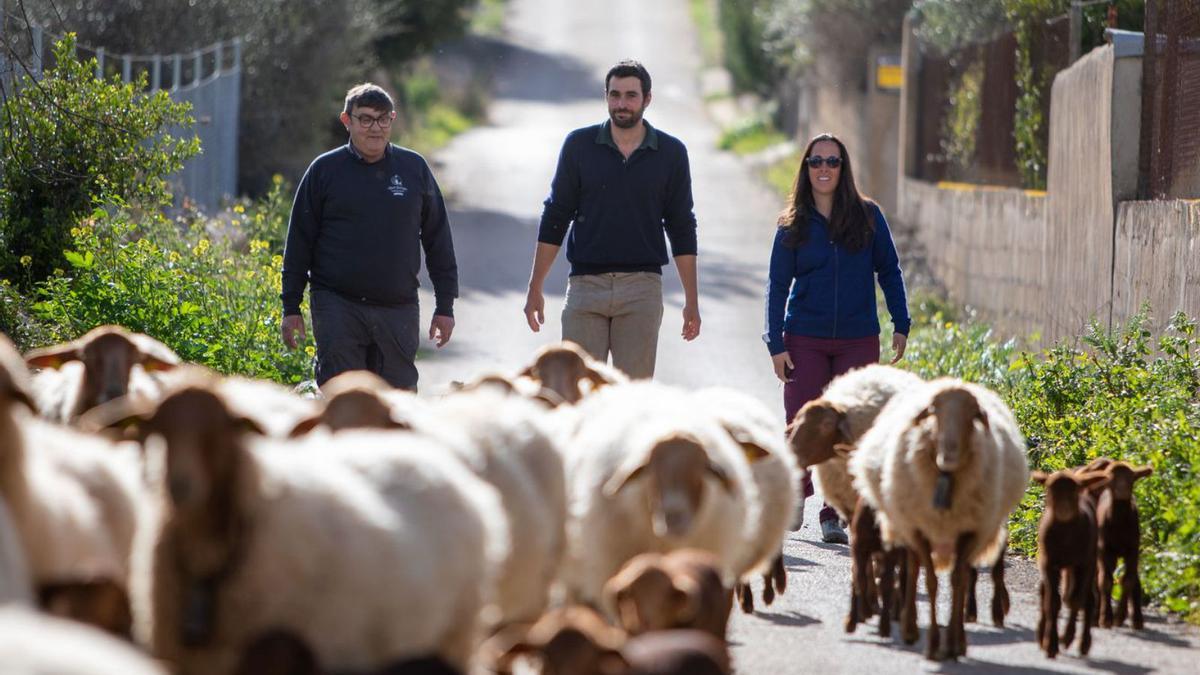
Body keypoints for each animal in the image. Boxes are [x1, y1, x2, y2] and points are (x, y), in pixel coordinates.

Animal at [849, 374, 1027, 658]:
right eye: (934, 412)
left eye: (973, 415)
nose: (948, 455)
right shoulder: (919, 530)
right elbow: (930, 582)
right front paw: (933, 642)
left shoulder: (971, 532)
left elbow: (958, 580)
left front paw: (955, 642)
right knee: (913, 572)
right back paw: (910, 625)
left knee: (984, 573)